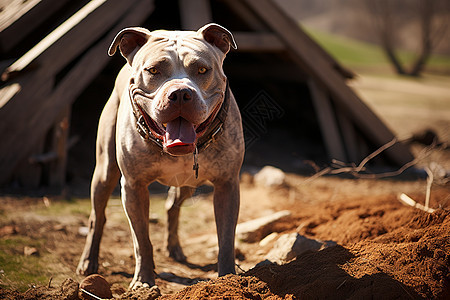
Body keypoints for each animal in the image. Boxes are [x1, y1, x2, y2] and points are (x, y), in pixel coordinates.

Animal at [78, 22, 246, 290]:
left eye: (202, 69)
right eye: (153, 70)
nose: (180, 94)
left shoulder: (227, 185)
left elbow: (226, 239)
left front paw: (228, 279)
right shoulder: (134, 187)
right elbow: (142, 240)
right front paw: (143, 282)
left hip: (188, 183)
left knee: (172, 206)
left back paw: (174, 249)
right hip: (105, 172)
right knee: (98, 216)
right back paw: (88, 262)